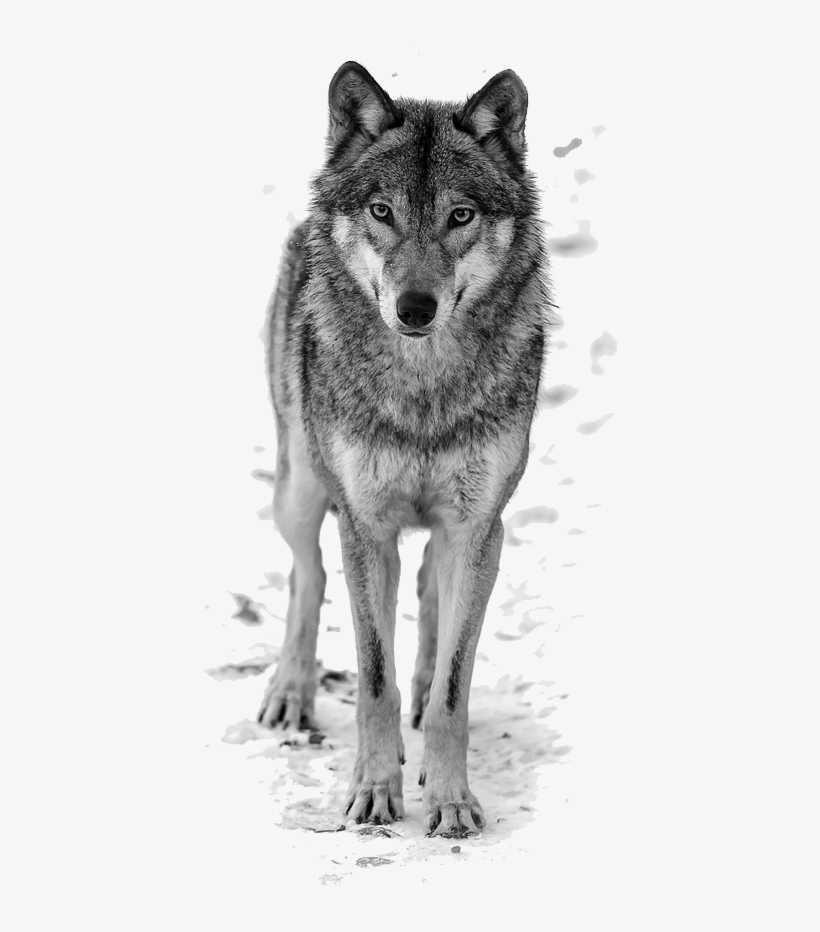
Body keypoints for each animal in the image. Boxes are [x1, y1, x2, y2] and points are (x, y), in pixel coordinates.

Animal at [257, 62, 553, 837]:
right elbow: (373, 677)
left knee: (428, 595)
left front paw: (449, 800)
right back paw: (291, 693)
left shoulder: (478, 527)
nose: (415, 308)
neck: (423, 393)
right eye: (383, 211)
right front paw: (373, 792)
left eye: (461, 216)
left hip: (458, 534)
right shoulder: (366, 526)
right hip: (300, 491)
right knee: (308, 577)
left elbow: (454, 687)